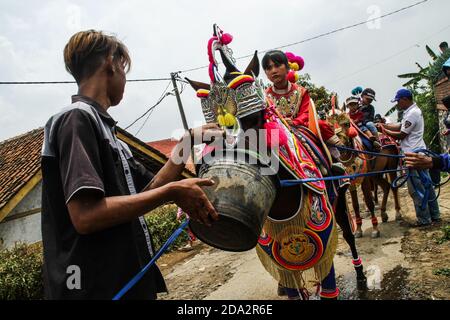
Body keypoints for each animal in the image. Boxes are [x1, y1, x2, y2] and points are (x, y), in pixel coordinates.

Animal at [187, 24, 370, 298]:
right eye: (214, 129)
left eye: (255, 119)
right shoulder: (270, 244)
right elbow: (291, 282)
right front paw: (287, 288)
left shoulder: (323, 231)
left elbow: (328, 277)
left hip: (339, 203)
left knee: (348, 234)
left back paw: (360, 274)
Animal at [328, 110, 402, 238]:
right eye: (329, 126)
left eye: (347, 124)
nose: (340, 146)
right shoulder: (352, 182)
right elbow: (355, 205)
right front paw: (358, 229)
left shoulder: (365, 179)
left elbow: (369, 201)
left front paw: (375, 229)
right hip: (376, 174)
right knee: (386, 186)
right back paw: (383, 214)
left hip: (391, 167)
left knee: (393, 187)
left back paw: (397, 213)